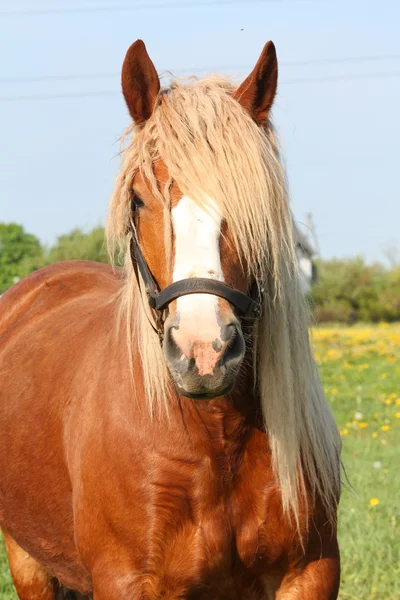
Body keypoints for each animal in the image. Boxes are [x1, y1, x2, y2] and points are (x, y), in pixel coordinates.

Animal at [0, 39, 340, 596]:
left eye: (256, 204)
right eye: (139, 199)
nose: (204, 352)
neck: (215, 438)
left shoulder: (309, 573)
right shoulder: (127, 581)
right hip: (28, 560)